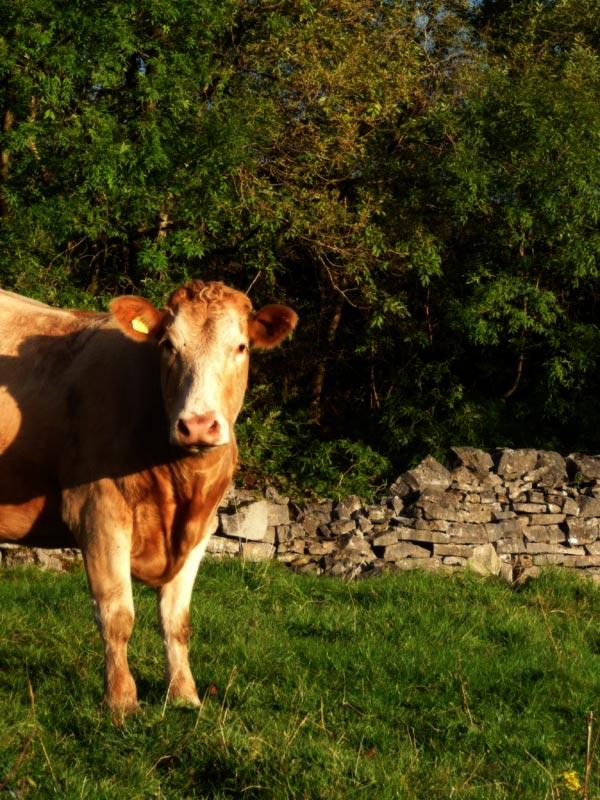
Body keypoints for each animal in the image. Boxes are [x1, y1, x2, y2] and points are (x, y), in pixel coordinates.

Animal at [0, 280, 297, 713]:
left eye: (241, 346)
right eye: (168, 346)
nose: (198, 425)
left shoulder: (202, 529)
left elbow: (176, 620)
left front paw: (185, 695)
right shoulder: (98, 512)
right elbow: (116, 615)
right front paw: (122, 701)